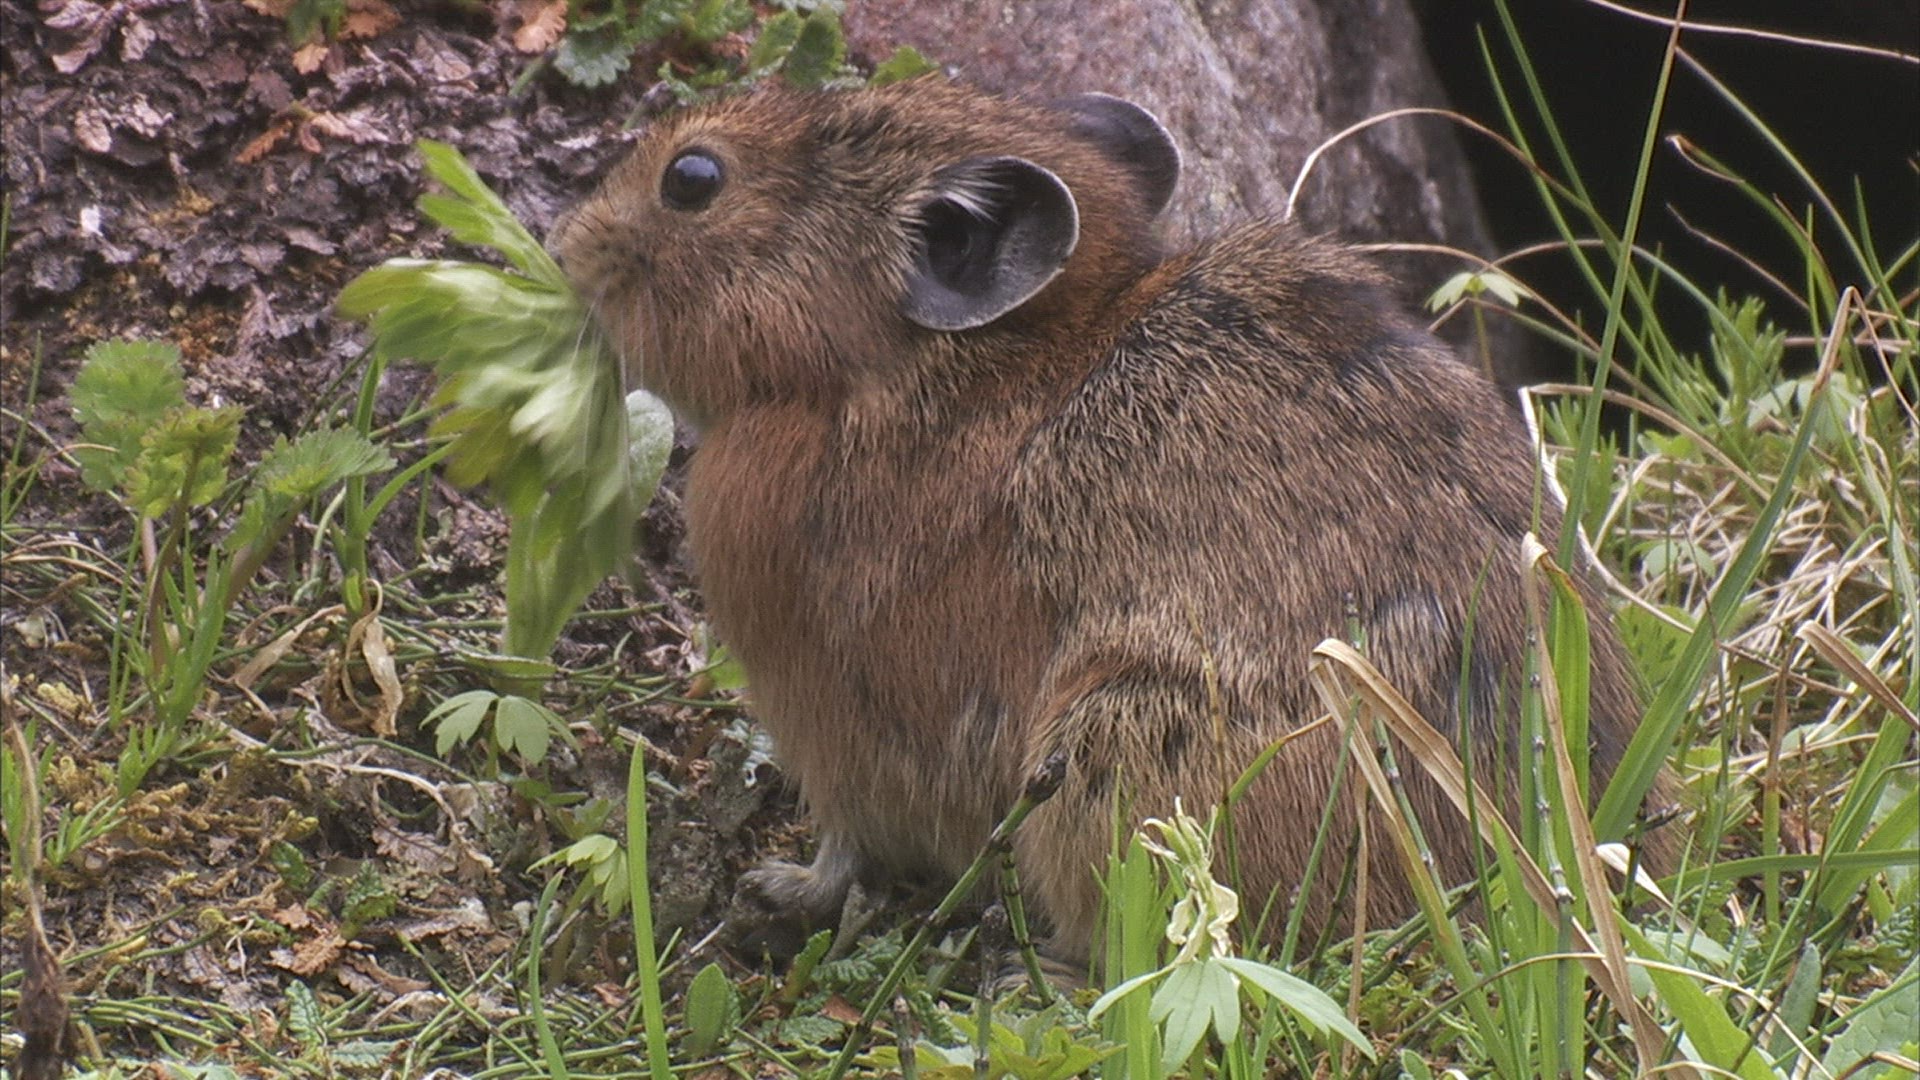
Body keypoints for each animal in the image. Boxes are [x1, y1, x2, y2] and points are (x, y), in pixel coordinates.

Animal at [554, 79, 1663, 966]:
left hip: (1113, 753)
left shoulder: (845, 713)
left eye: (692, 178)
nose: (567, 241)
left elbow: (850, 841)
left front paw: (777, 894)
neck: (927, 377)